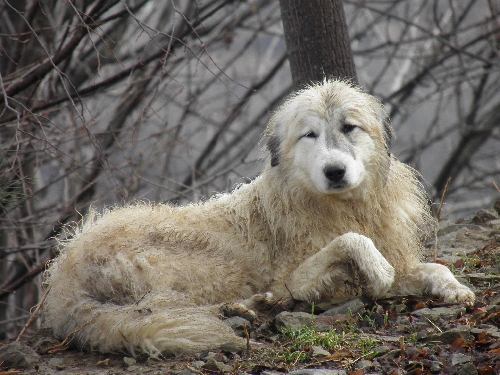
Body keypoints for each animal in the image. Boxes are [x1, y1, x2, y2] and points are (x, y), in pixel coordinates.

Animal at [42, 80, 472, 358]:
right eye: (310, 135)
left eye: (349, 128)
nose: (334, 171)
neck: (342, 206)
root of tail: (63, 275)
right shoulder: (298, 278)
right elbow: (353, 242)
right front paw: (376, 270)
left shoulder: (398, 260)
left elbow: (432, 267)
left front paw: (456, 290)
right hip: (180, 271)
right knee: (159, 310)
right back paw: (247, 308)